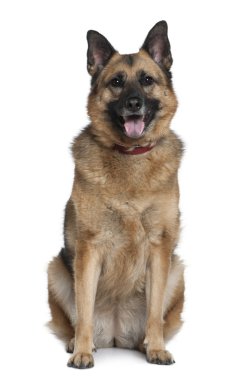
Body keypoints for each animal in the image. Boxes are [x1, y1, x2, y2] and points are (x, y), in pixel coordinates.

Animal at [47, 20, 184, 368]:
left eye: (147, 80)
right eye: (117, 82)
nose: (134, 103)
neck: (130, 156)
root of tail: (115, 335)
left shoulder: (159, 249)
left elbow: (154, 313)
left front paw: (156, 348)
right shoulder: (88, 248)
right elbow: (83, 310)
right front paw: (82, 352)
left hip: (177, 270)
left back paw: (146, 344)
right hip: (56, 269)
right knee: (77, 317)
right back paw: (80, 343)